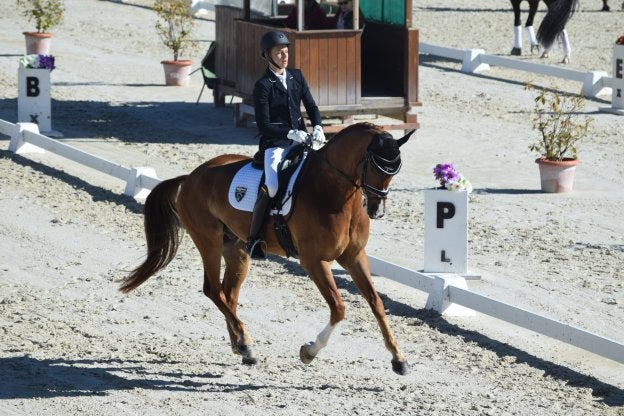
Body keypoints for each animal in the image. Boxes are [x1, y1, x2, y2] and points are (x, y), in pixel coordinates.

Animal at [120, 122, 414, 376]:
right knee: (213, 290)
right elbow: (339, 308)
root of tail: (191, 177)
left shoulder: (354, 257)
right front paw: (309, 351)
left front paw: (399, 359)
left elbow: (376, 303)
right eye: (375, 166)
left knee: (228, 294)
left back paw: (241, 347)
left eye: (395, 171)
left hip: (237, 250)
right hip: (208, 241)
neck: (334, 193)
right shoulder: (314, 261)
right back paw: (246, 343)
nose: (377, 210)